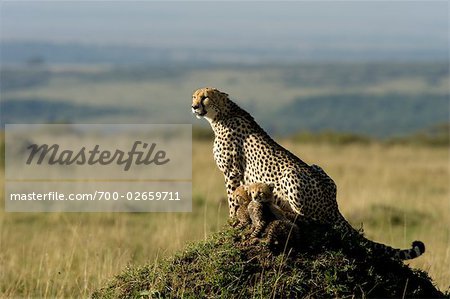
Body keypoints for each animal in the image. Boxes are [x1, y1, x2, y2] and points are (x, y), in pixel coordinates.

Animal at [192, 86, 426, 260]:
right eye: (194, 96)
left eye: (205, 97)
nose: (194, 106)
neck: (221, 115)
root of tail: (333, 204)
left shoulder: (231, 173)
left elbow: (232, 199)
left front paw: (231, 222)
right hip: (317, 166)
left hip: (291, 174)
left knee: (313, 220)